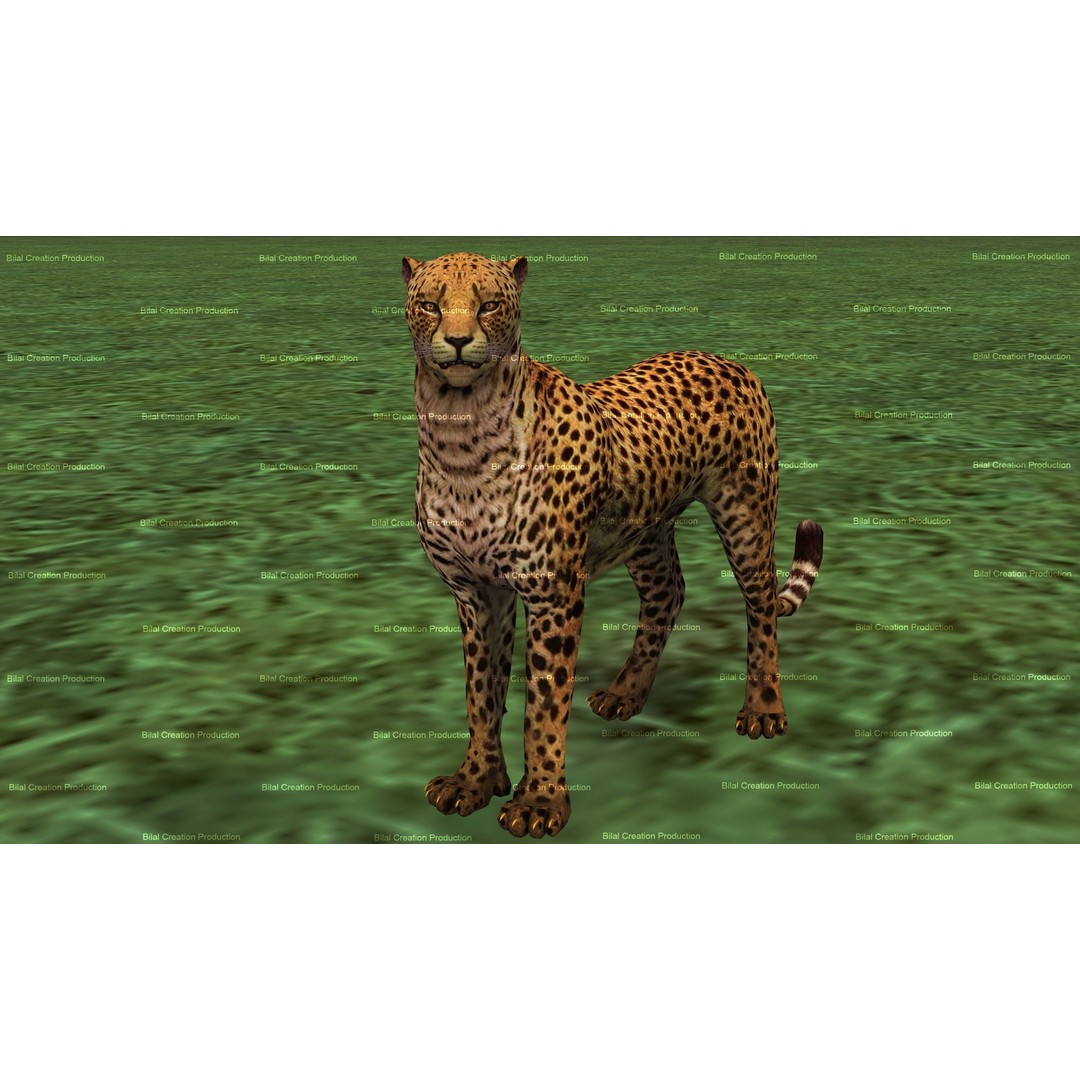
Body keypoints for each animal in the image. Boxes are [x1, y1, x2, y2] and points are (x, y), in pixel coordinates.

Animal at [401, 251, 823, 839]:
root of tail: (722, 356)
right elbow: (480, 693)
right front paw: (475, 780)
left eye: (489, 305)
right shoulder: (475, 593)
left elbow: (543, 701)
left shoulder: (552, 593)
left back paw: (763, 708)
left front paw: (540, 802)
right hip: (643, 531)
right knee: (668, 594)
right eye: (429, 305)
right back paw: (627, 692)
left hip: (746, 513)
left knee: (760, 603)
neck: (460, 434)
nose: (459, 341)